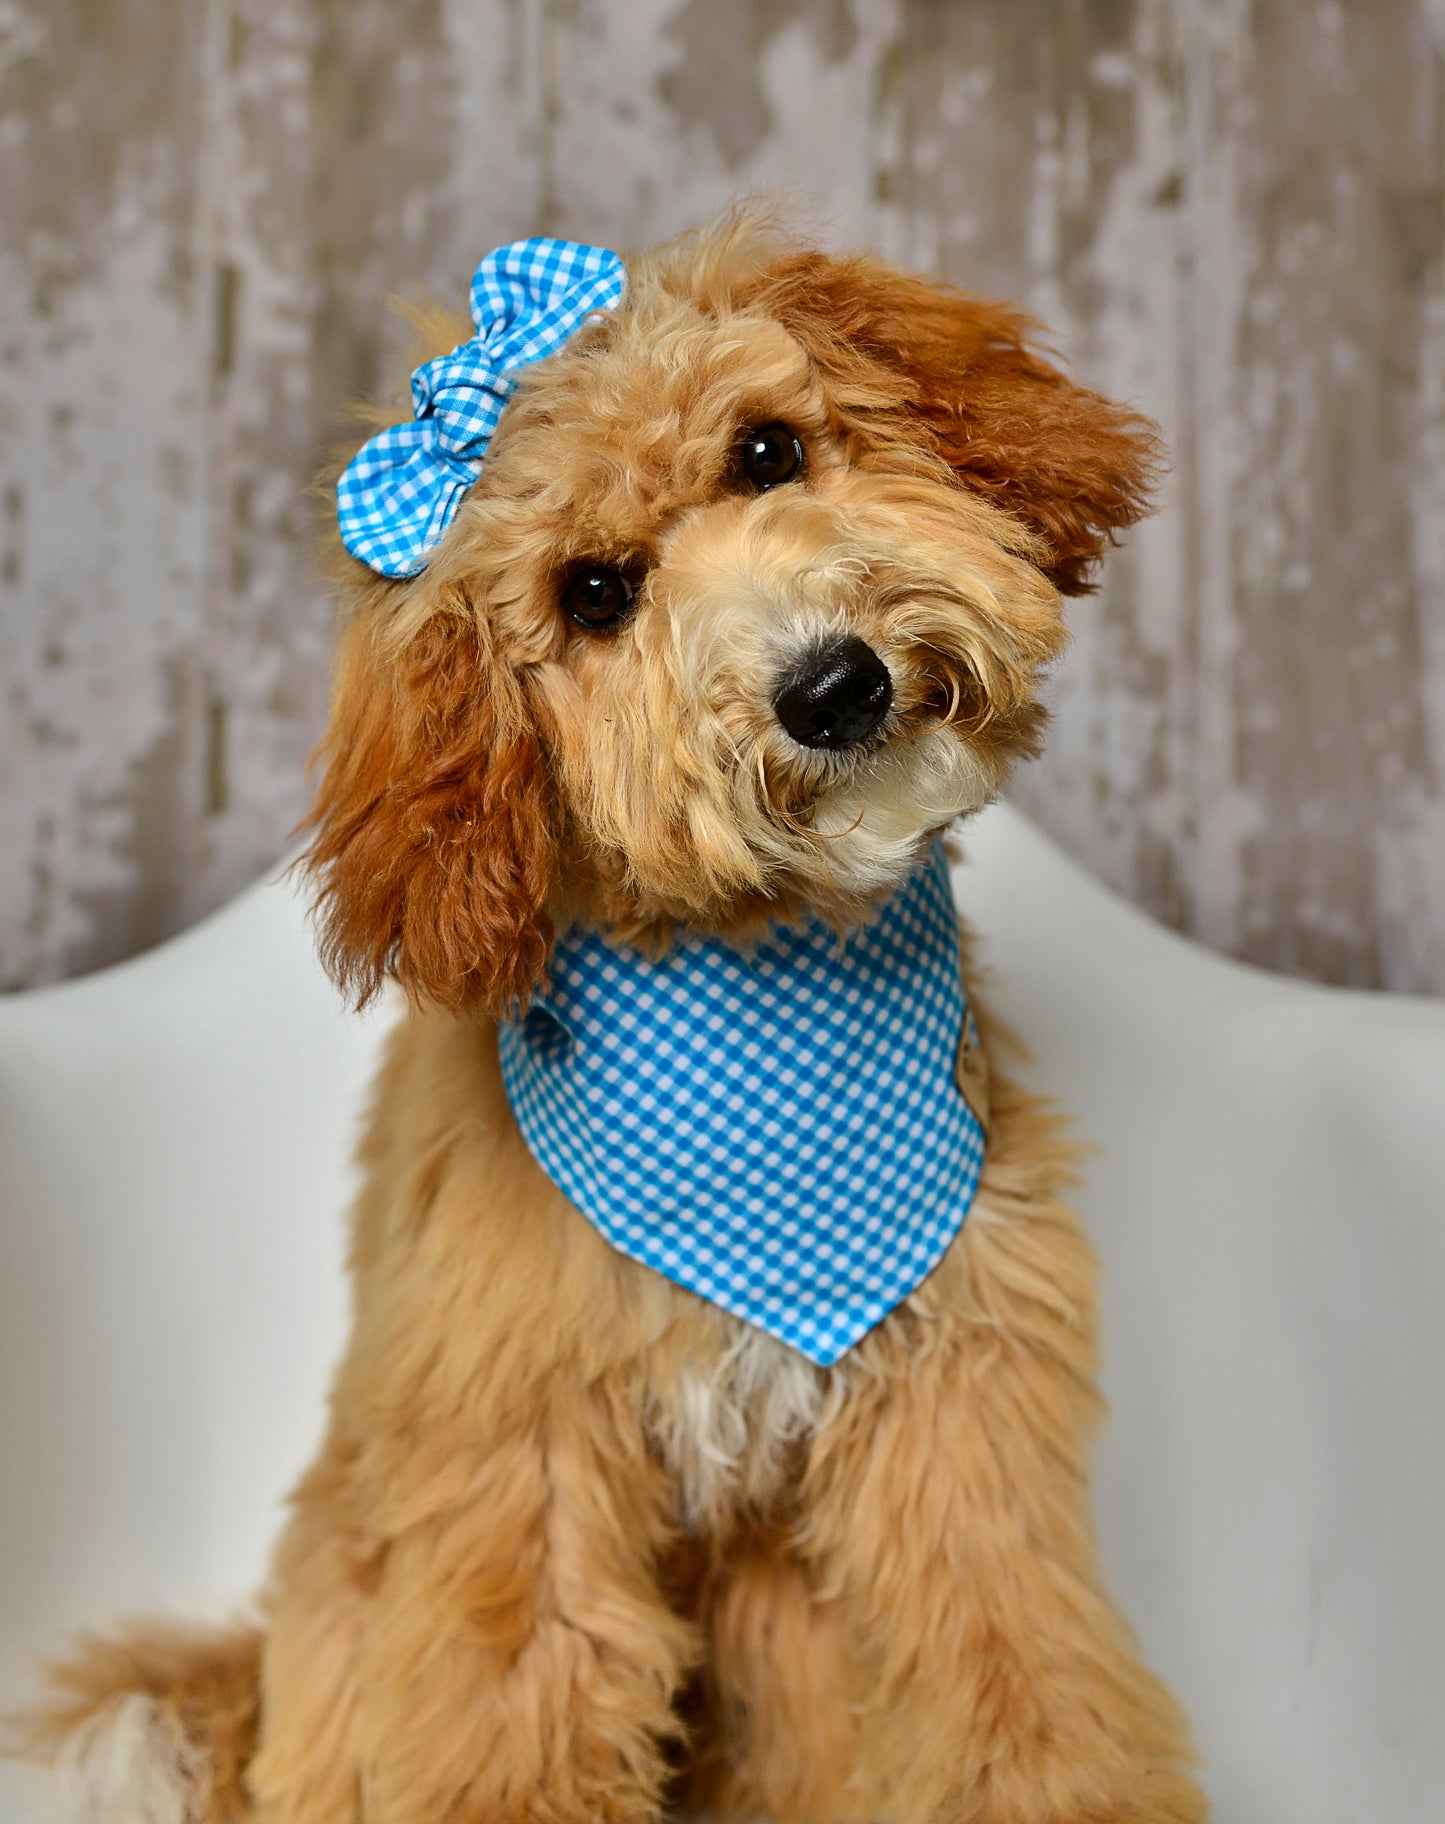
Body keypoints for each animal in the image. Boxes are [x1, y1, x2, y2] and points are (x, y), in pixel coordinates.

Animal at [16, 213, 1204, 1824]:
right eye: (593, 595)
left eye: (767, 451)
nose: (830, 685)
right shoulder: (523, 1463)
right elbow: (514, 1724)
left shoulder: (954, 1403)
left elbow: (1016, 1677)